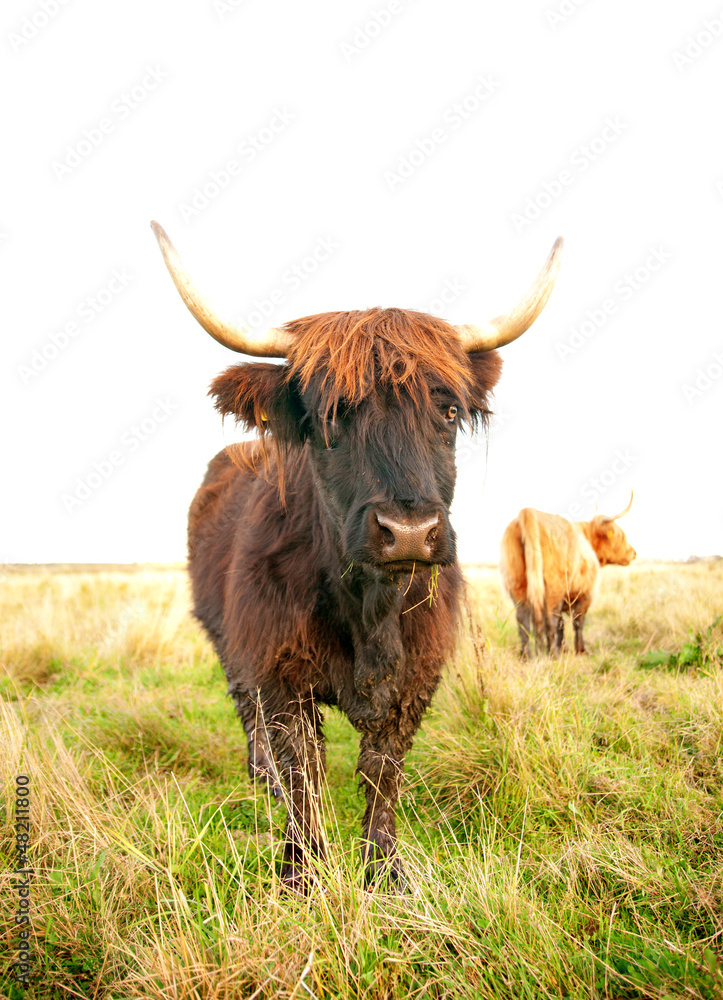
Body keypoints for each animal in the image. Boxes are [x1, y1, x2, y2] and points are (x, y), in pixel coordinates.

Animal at [150, 223, 564, 896]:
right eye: (330, 417)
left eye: (449, 411)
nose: (409, 532)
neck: (370, 607)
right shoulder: (278, 671)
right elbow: (305, 772)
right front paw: (302, 870)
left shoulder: (417, 678)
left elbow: (382, 771)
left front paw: (385, 868)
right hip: (226, 638)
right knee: (247, 712)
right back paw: (260, 775)